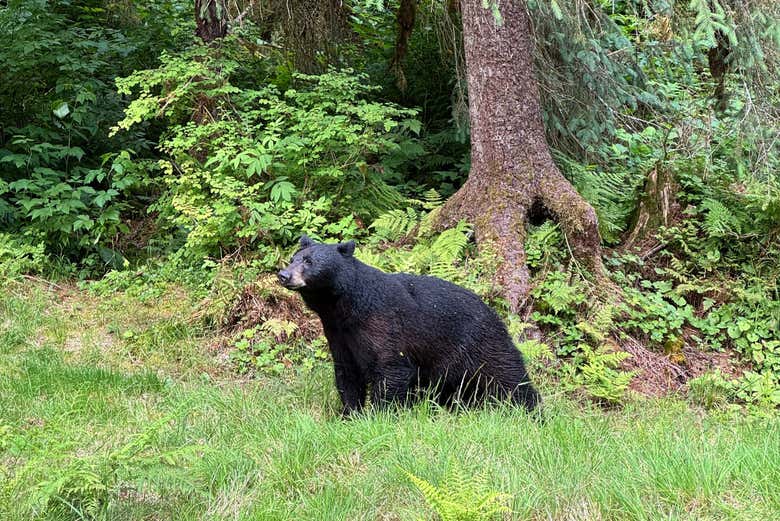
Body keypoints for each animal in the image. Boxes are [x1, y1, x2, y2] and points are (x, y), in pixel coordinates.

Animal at [277, 235, 540, 416]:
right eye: (293, 258)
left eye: (309, 261)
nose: (283, 275)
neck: (345, 309)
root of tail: (493, 312)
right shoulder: (339, 334)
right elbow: (347, 373)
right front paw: (349, 413)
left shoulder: (384, 324)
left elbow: (391, 368)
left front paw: (378, 414)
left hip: (480, 343)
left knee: (508, 374)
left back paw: (531, 412)